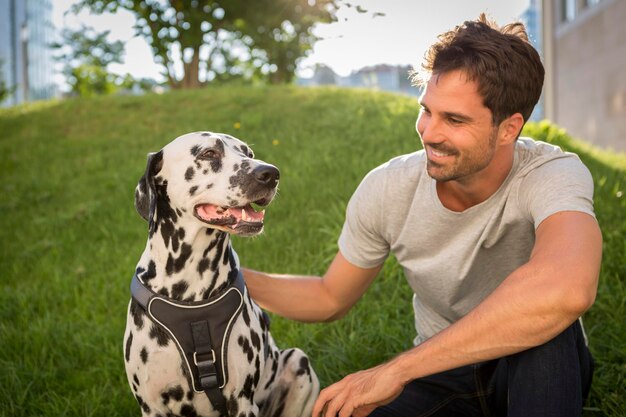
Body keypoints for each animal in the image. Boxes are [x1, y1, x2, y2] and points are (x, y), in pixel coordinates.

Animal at [123, 131, 316, 416]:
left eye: (248, 153)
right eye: (209, 153)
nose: (270, 173)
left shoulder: (242, 401)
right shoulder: (151, 407)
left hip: (298, 362)